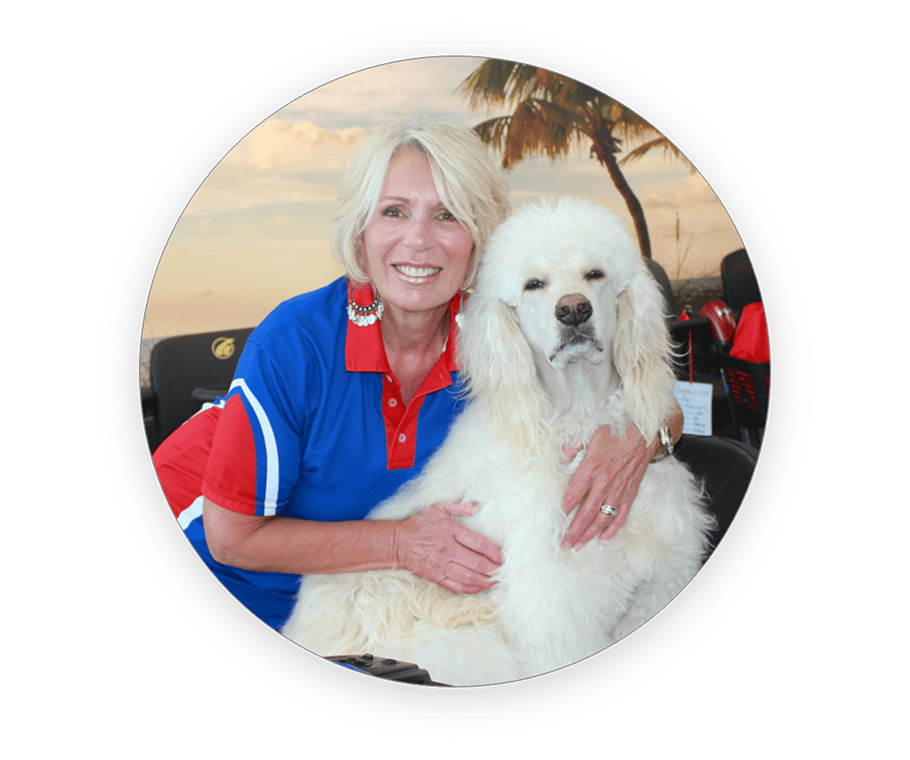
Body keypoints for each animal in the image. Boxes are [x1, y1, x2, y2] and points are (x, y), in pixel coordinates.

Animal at [282, 196, 714, 686]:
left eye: (595, 274)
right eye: (534, 285)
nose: (574, 310)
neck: (578, 417)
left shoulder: (657, 583)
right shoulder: (556, 616)